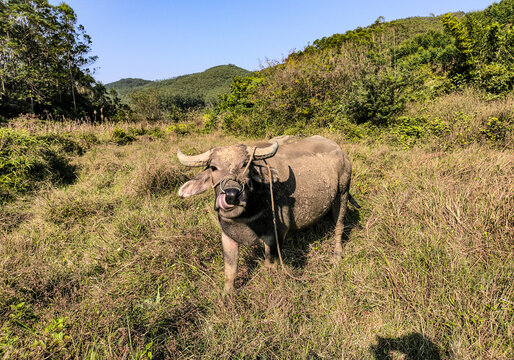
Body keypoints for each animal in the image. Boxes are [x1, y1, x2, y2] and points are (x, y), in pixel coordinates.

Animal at [176, 135, 356, 296]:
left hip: (342, 193)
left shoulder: (276, 235)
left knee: (339, 227)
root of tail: (341, 152)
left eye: (245, 165)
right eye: (213, 167)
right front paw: (227, 295)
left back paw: (337, 256)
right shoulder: (227, 236)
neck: (246, 217)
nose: (231, 195)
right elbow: (230, 269)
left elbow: (269, 263)